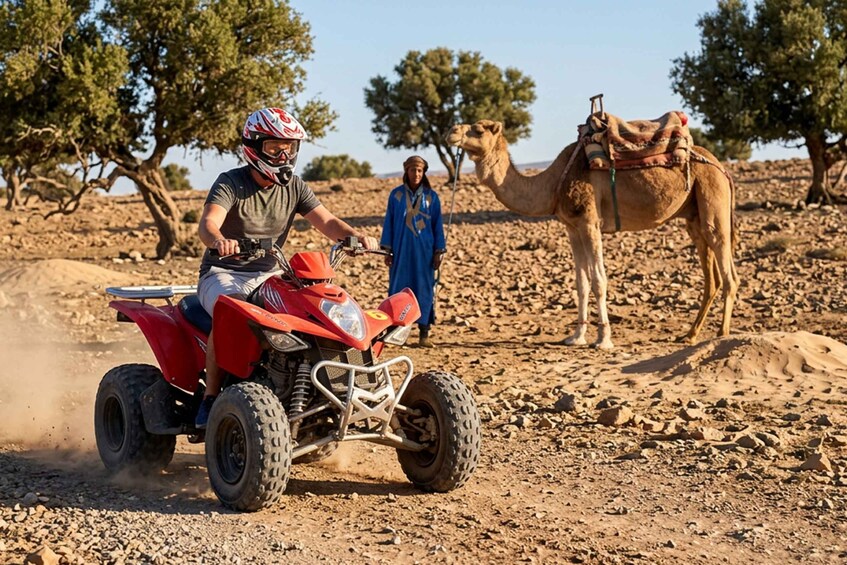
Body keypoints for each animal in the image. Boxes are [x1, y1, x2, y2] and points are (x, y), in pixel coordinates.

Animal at [445, 119, 739, 349]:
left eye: (479, 129)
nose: (451, 131)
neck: (553, 183)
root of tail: (721, 168)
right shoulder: (572, 227)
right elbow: (581, 283)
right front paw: (576, 336)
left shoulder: (589, 222)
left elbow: (599, 281)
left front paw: (603, 339)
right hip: (693, 216)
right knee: (712, 276)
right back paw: (689, 335)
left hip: (712, 198)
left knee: (728, 272)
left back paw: (721, 334)